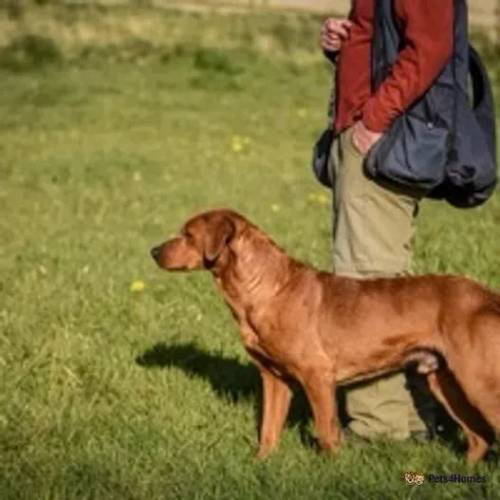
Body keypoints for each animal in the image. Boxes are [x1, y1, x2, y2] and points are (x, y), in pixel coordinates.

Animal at [151, 209, 500, 462]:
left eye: (188, 235)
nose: (153, 250)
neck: (265, 289)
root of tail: (487, 295)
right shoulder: (274, 379)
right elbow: (268, 430)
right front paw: (261, 463)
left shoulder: (317, 376)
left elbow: (326, 432)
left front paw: (330, 471)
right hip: (444, 381)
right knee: (479, 439)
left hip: (479, 381)